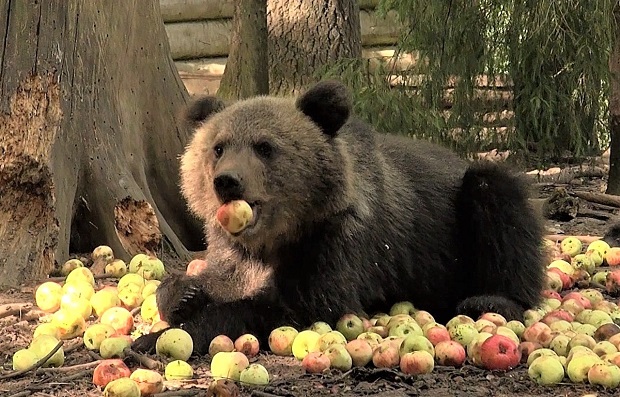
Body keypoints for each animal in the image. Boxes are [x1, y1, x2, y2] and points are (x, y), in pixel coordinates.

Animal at [132, 79, 544, 352]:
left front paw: (153, 338)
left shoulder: (340, 241)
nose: (227, 182)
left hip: (461, 215)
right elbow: (221, 276)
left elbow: (295, 305)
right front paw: (183, 294)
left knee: (498, 201)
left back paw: (491, 300)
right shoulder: (237, 251)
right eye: (218, 147)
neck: (281, 234)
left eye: (264, 147)